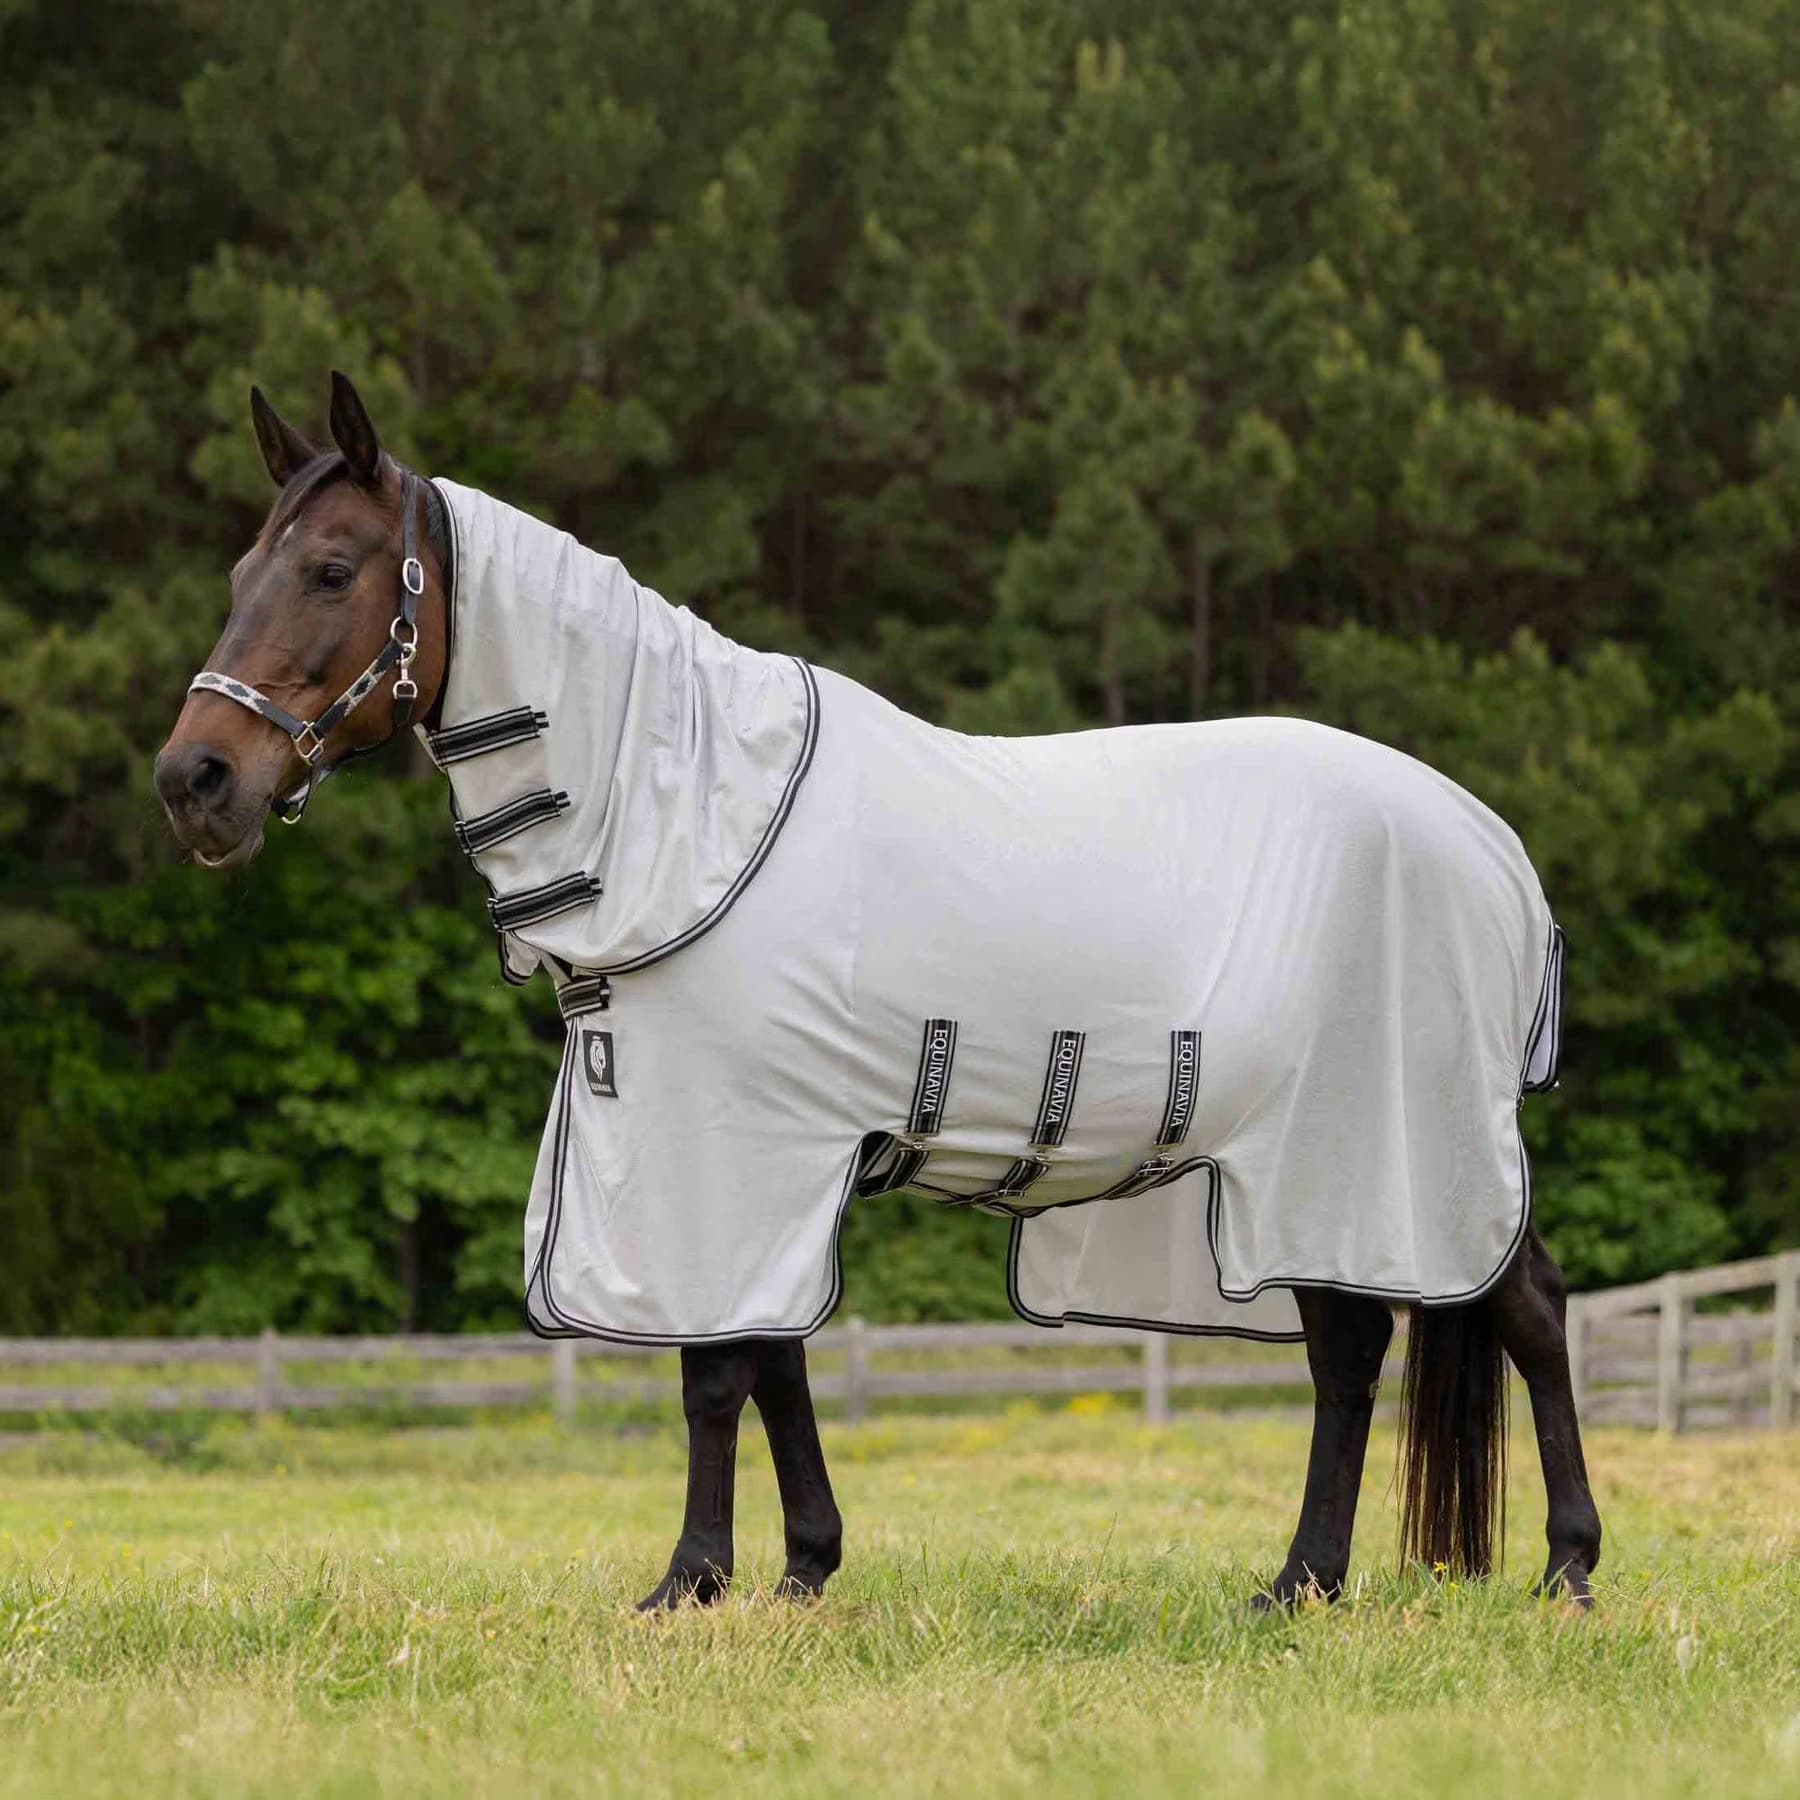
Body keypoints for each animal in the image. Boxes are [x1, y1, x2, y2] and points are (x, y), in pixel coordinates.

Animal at [155, 373, 1602, 1611]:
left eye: (331, 570)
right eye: (238, 573)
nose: (195, 783)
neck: (688, 810)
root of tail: (1491, 845)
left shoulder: (725, 1145)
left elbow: (717, 1372)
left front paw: (690, 1581)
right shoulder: (760, 1151)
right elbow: (774, 1357)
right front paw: (802, 1567)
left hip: (1378, 1153)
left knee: (1516, 1311)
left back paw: (1562, 1569)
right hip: (1307, 1169)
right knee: (1356, 1352)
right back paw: (1306, 1580)